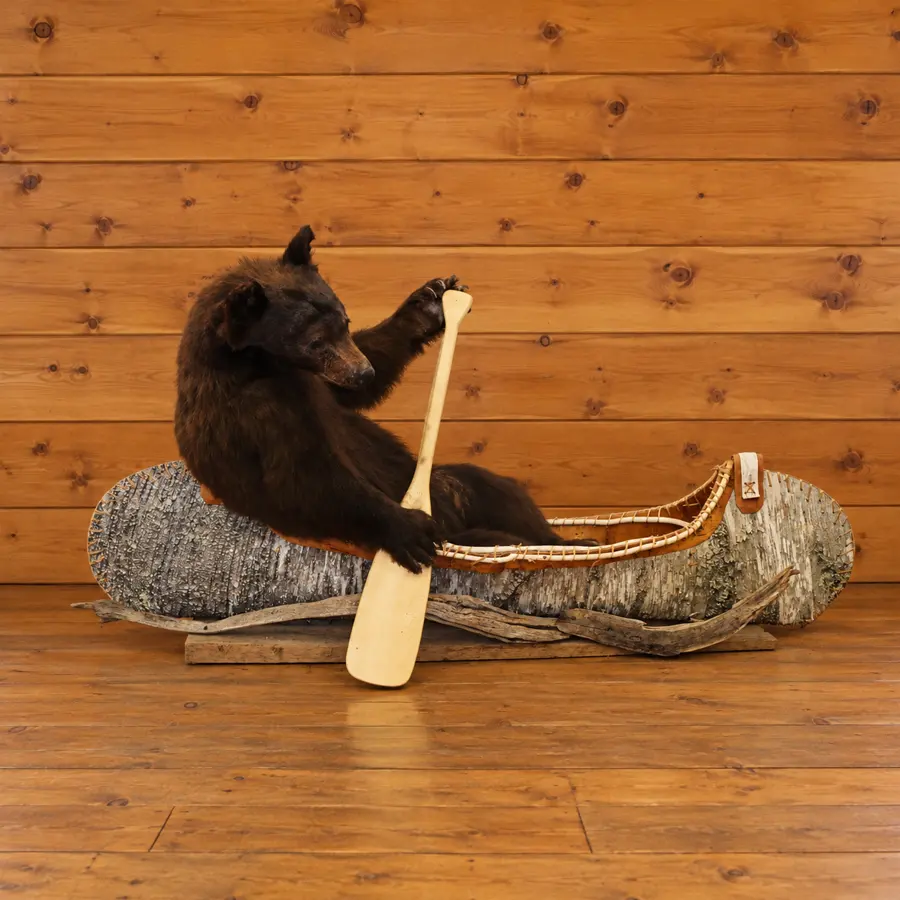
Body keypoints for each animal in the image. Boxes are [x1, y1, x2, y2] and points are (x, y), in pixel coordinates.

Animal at [174, 225, 587, 573]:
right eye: (315, 342)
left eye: (344, 321)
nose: (363, 372)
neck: (255, 364)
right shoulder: (259, 414)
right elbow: (305, 478)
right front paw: (408, 529)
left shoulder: (322, 384)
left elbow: (358, 380)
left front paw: (430, 302)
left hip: (446, 485)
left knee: (497, 490)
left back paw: (569, 540)